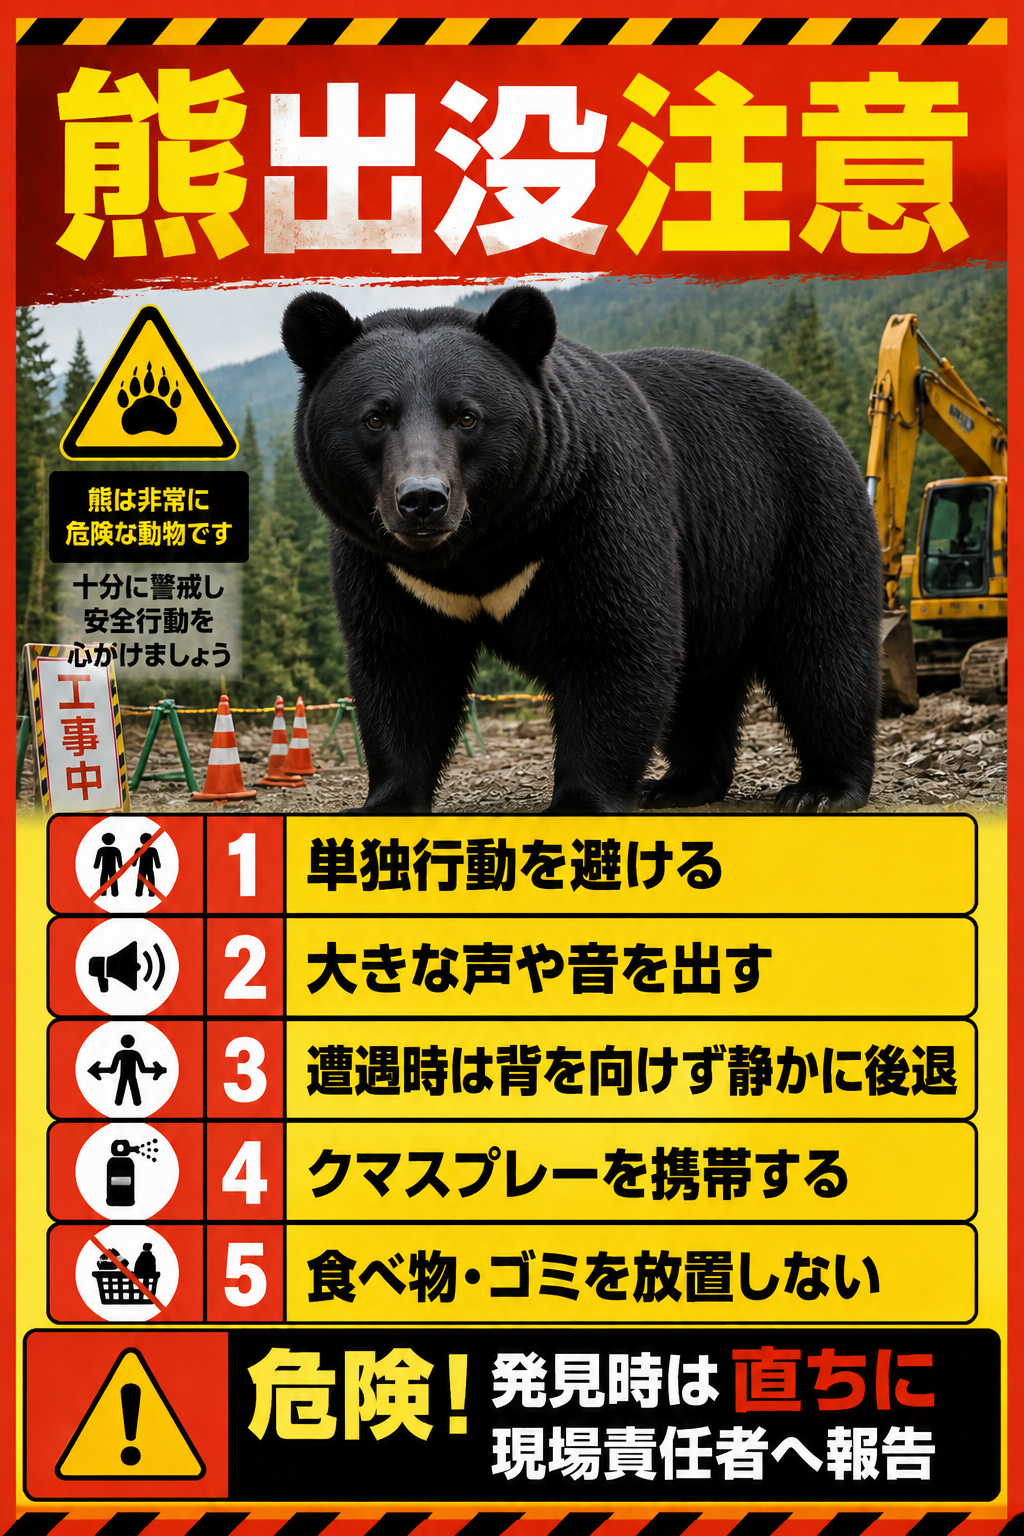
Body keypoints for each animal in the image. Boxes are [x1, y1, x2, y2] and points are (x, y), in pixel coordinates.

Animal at [281, 284, 880, 816]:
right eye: (375, 416)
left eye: (467, 416)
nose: (422, 500)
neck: (478, 551)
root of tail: (811, 408)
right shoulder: (387, 565)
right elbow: (401, 664)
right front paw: (386, 800)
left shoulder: (594, 508)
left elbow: (615, 641)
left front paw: (580, 801)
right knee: (702, 679)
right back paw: (680, 783)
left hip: (802, 518)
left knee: (823, 652)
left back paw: (822, 789)